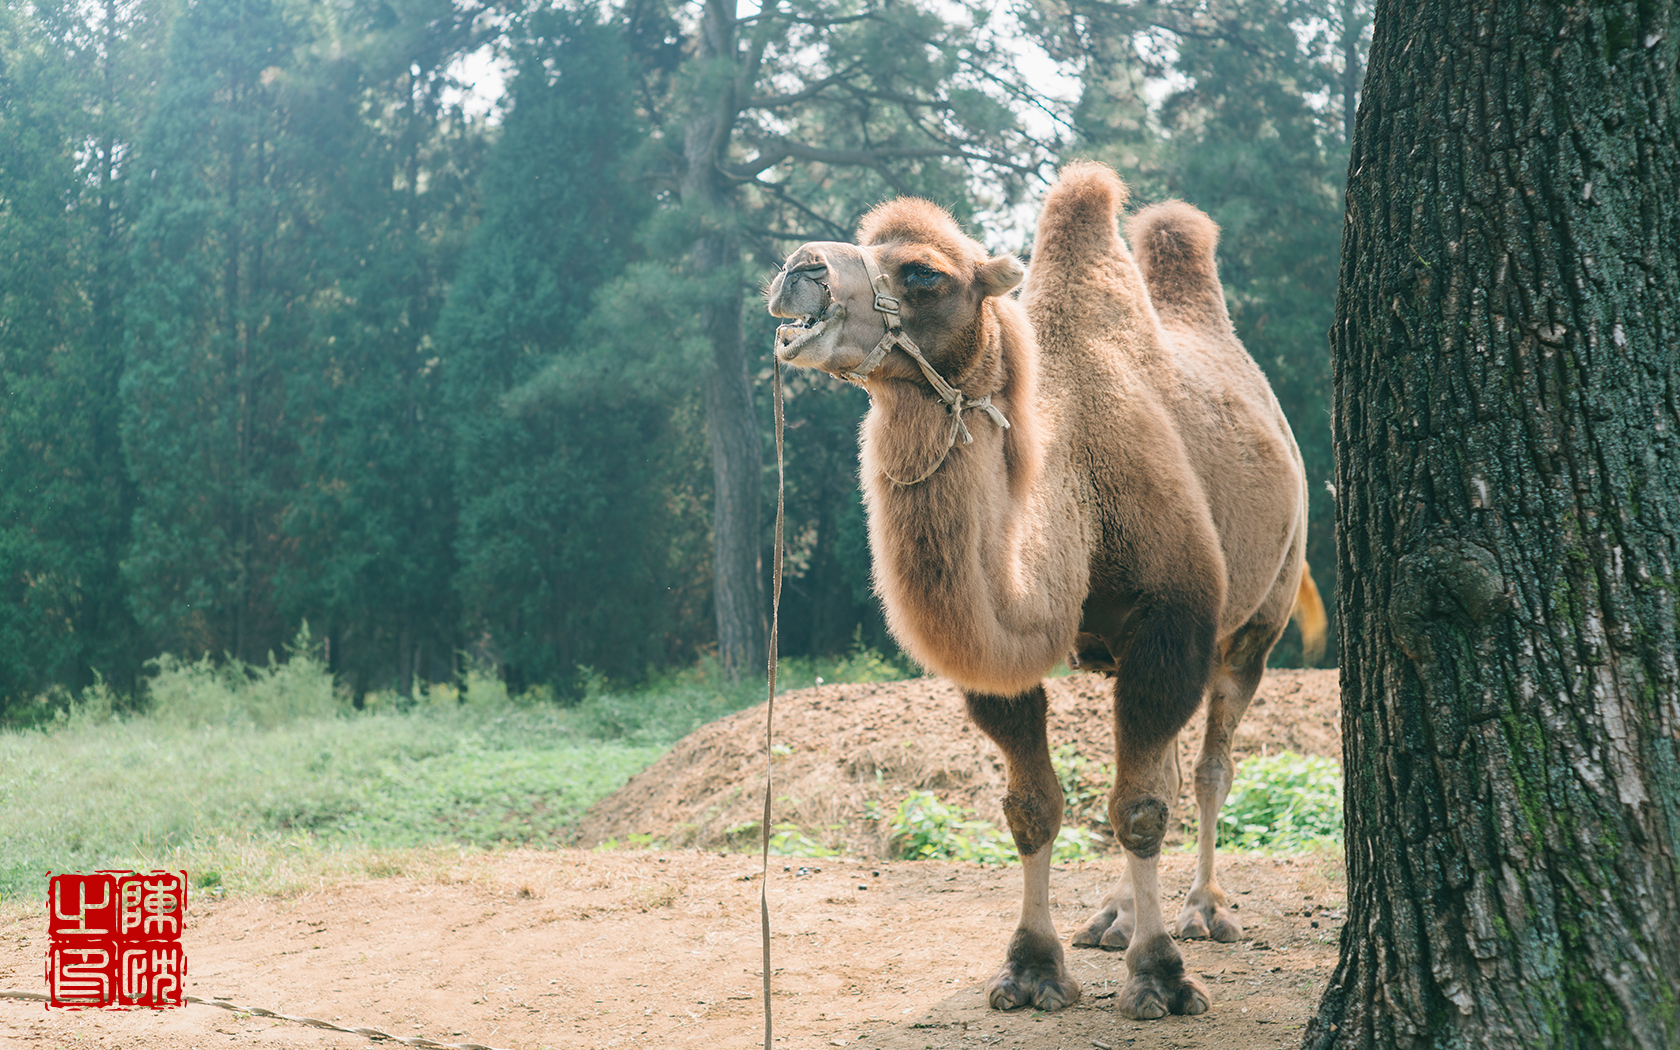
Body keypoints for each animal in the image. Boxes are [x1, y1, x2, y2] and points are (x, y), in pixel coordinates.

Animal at [766, 159, 1323, 1021]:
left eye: (923, 271)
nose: (800, 269)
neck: (1074, 496)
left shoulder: (1172, 624)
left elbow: (1139, 808)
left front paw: (1159, 977)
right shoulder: (1010, 670)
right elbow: (1034, 807)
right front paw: (1032, 968)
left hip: (1259, 617)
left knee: (1206, 769)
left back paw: (1203, 911)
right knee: (1161, 772)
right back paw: (1114, 917)